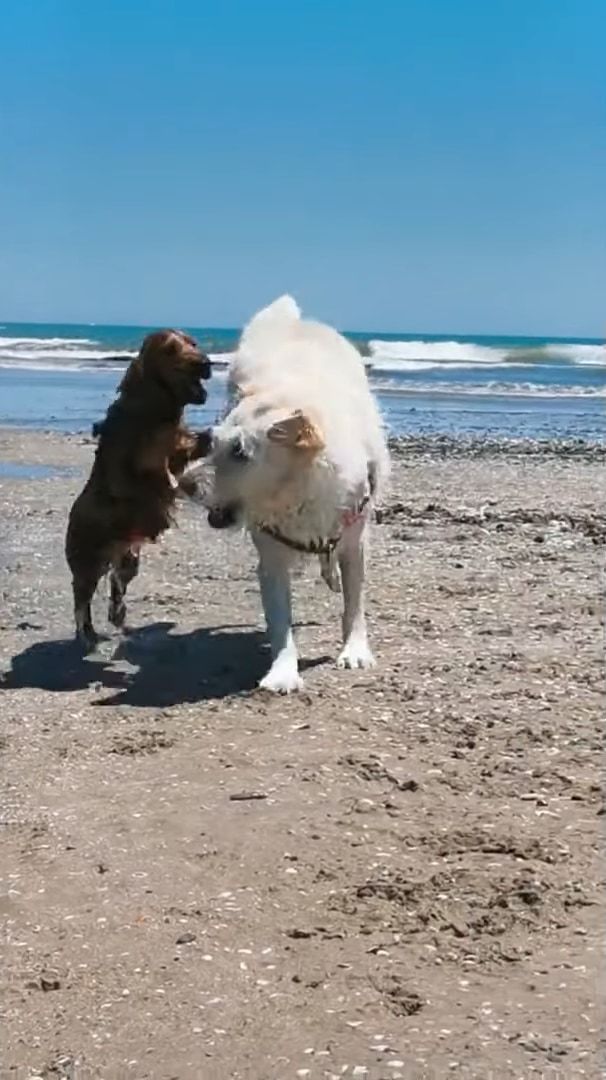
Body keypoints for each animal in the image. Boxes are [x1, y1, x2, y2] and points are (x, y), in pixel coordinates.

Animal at [65, 330, 210, 648]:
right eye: (170, 349)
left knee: (116, 586)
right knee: (81, 599)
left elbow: (185, 448)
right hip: (87, 561)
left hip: (128, 560)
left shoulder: (175, 445)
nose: (206, 363)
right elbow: (162, 468)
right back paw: (86, 634)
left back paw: (117, 616)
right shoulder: (146, 457)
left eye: (194, 343)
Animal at [207, 295, 386, 691]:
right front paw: (282, 673)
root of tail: (296, 322)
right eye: (211, 441)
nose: (183, 483)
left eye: (240, 452)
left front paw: (354, 651)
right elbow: (280, 621)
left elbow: (354, 603)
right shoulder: (270, 559)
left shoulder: (354, 542)